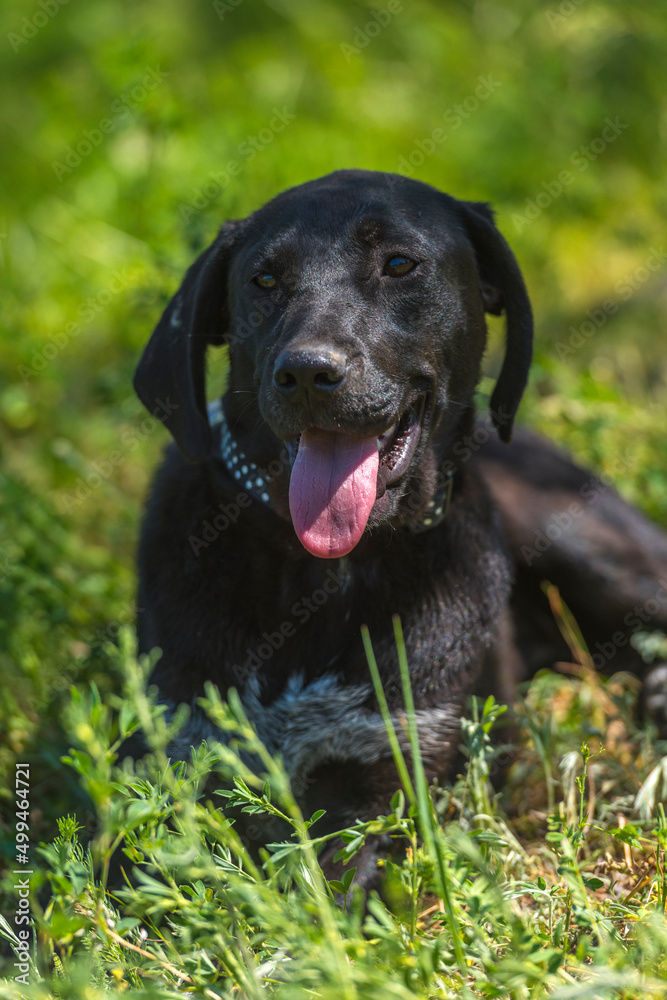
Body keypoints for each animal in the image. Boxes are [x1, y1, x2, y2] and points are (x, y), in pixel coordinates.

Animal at [134, 172, 667, 884]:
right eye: (264, 280)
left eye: (398, 264)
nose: (307, 372)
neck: (322, 572)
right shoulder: (177, 765)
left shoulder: (391, 780)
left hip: (586, 547)